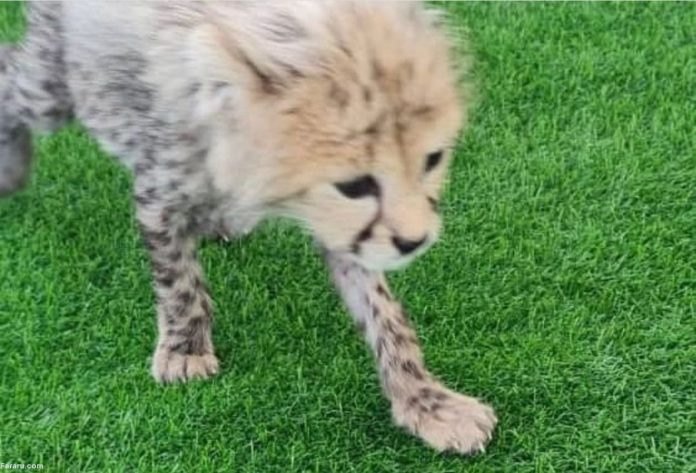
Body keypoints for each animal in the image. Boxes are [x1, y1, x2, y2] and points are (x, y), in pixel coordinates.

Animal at [0, 1, 496, 454]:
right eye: (355, 185)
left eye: (432, 160)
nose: (414, 241)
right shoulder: (159, 194)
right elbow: (178, 280)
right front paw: (185, 349)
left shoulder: (339, 230)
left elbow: (384, 314)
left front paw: (427, 402)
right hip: (53, 84)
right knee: (12, 78)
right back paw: (11, 169)